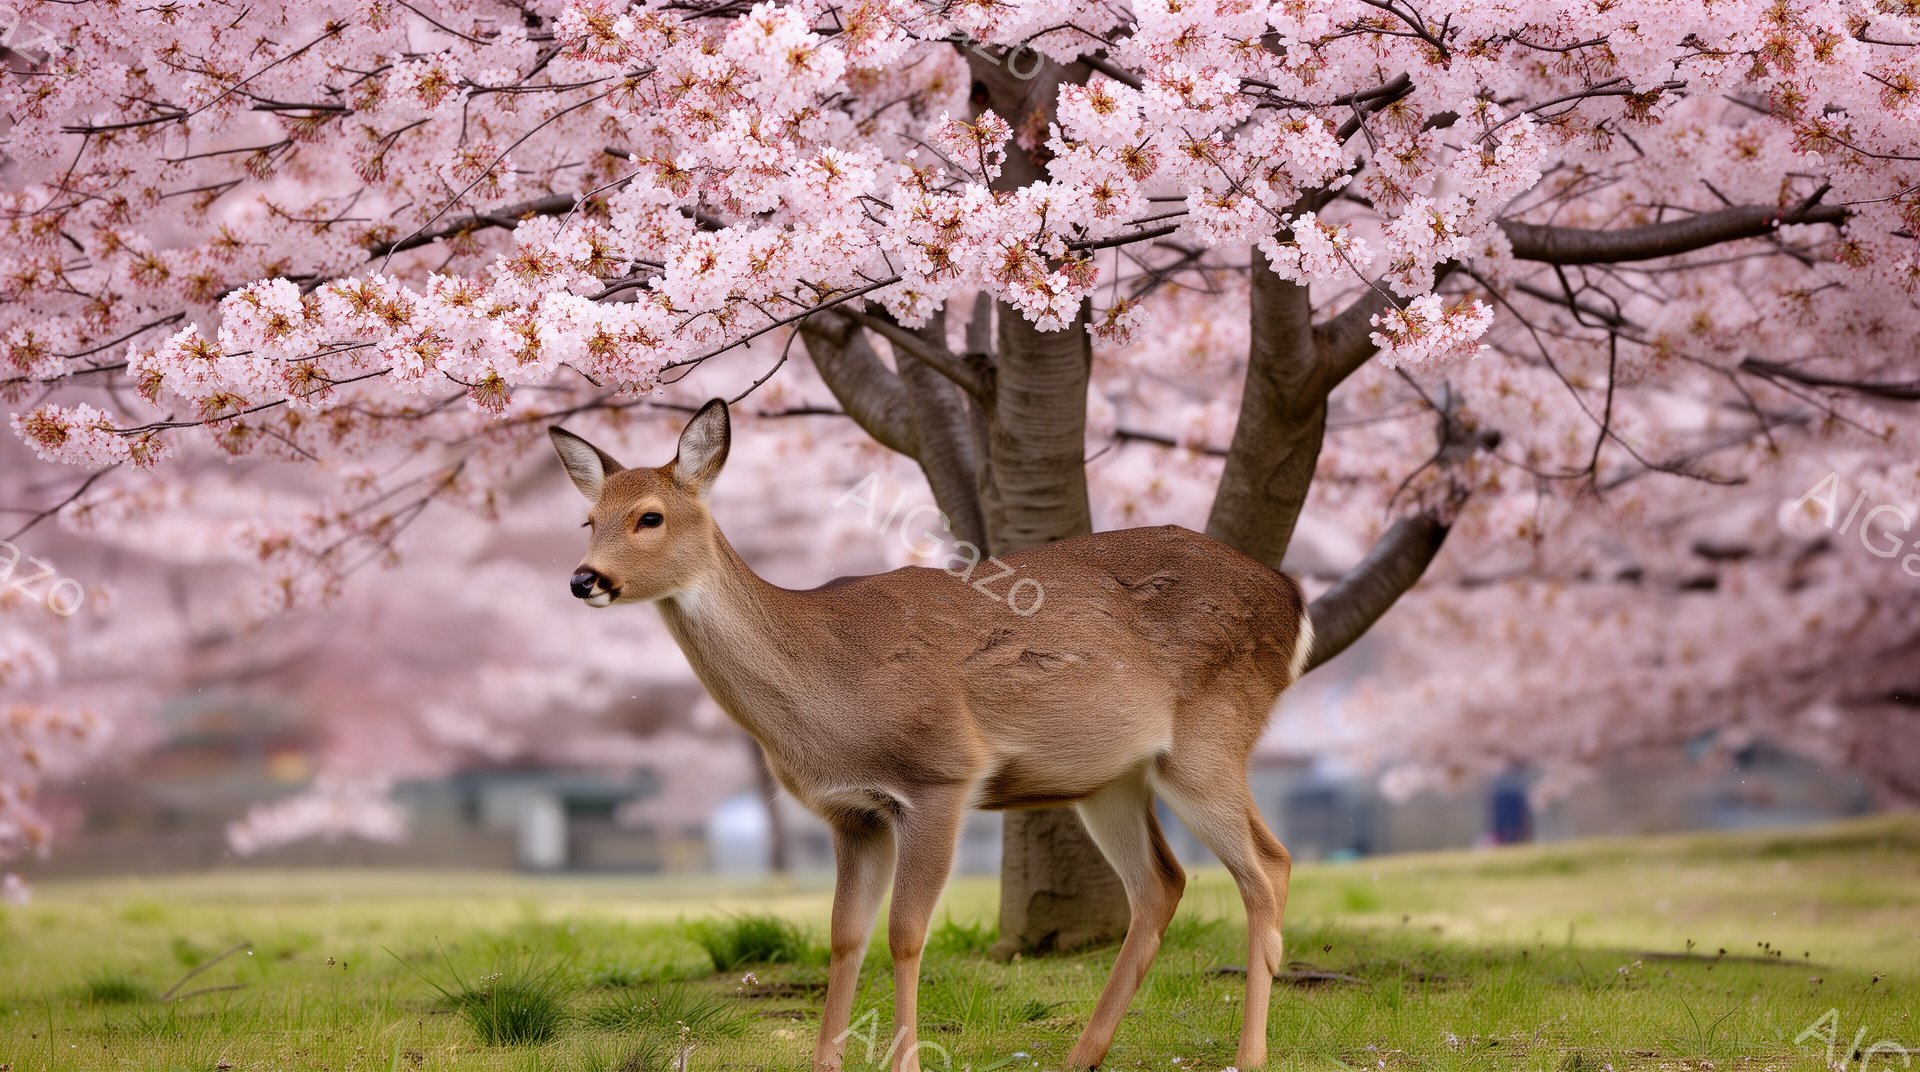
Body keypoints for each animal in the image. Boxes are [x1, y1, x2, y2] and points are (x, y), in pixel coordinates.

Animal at [550, 399, 1314, 1072]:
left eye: (649, 516)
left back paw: (1249, 1055)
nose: (584, 578)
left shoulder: (941, 775)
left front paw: (905, 1062)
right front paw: (826, 1062)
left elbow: (905, 935)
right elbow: (844, 936)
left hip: (1210, 738)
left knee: (1268, 865)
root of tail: (1293, 597)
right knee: (1162, 882)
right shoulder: (851, 813)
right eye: (588, 518)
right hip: (1112, 778)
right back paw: (1083, 1055)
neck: (825, 692)